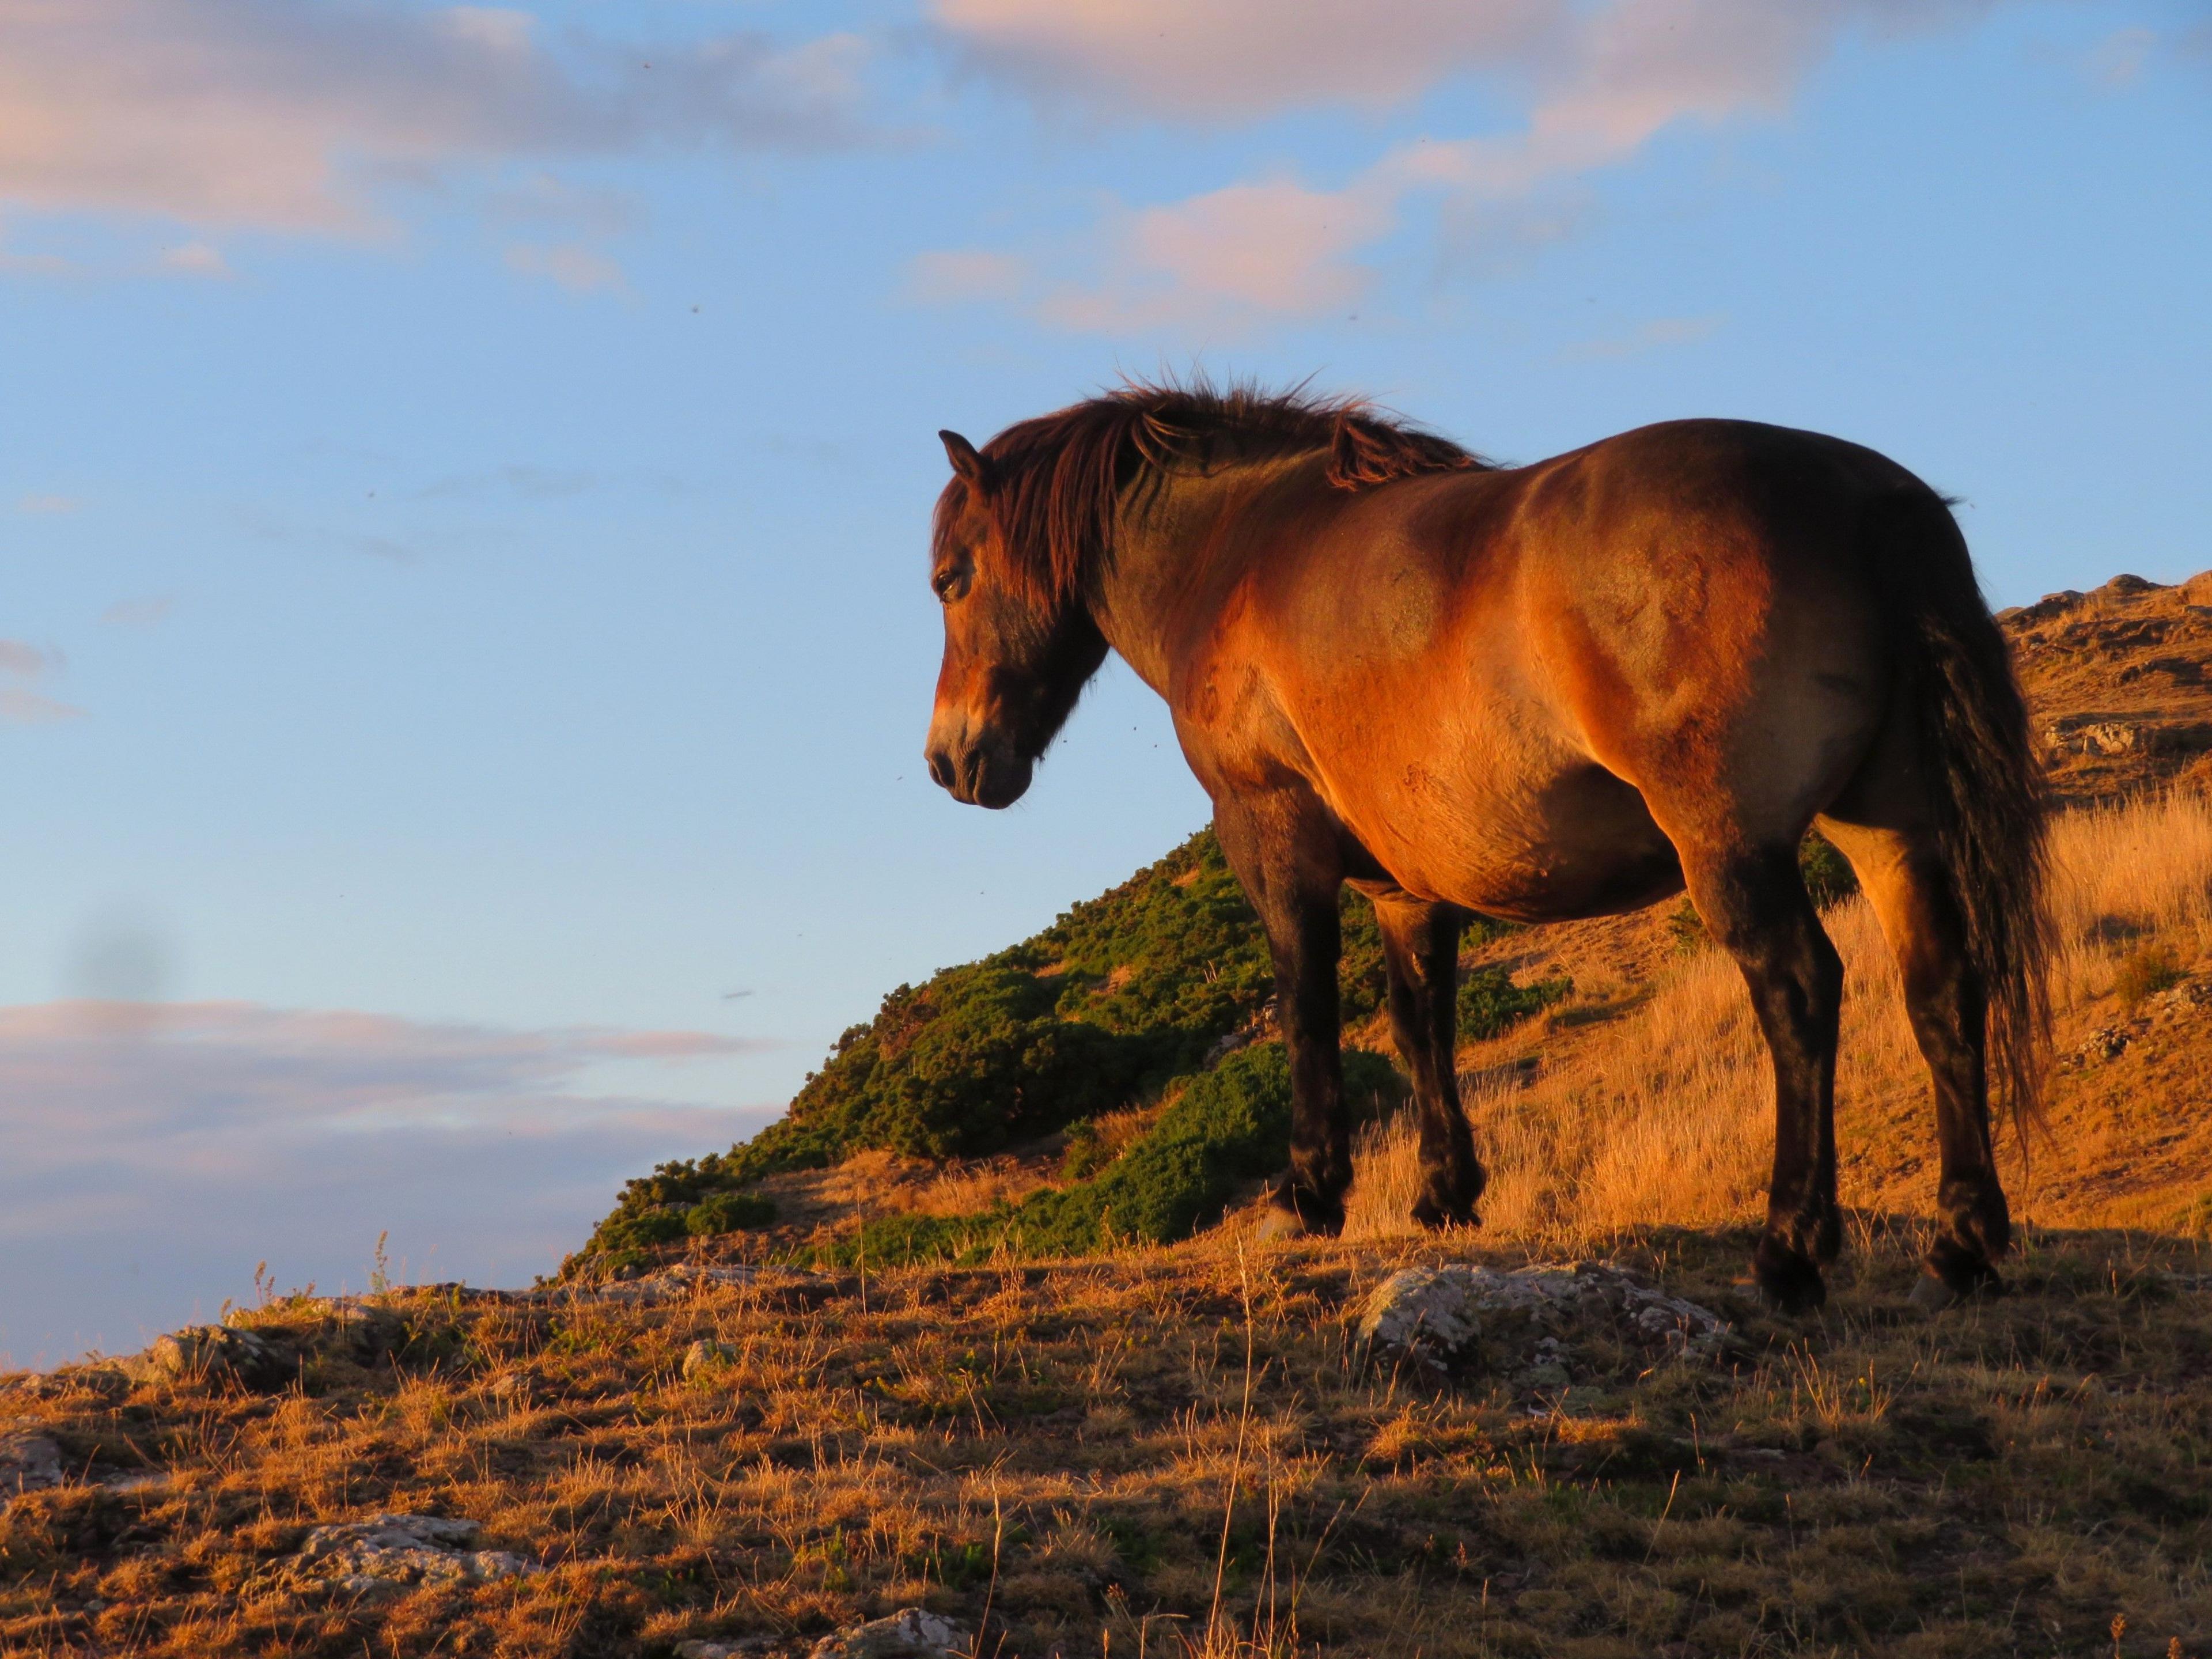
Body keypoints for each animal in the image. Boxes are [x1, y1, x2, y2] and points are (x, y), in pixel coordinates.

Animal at [911, 382, 2035, 1318]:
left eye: (950, 581)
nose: (953, 762)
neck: (1242, 551)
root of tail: (1866, 500)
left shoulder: (1270, 832)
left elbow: (1307, 1006)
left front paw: (1308, 1194)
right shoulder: (1407, 887)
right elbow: (1423, 1025)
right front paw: (1444, 1193)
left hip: (1732, 844)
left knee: (1801, 992)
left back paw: (1790, 1251)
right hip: (1886, 826)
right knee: (1941, 988)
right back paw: (1961, 1248)